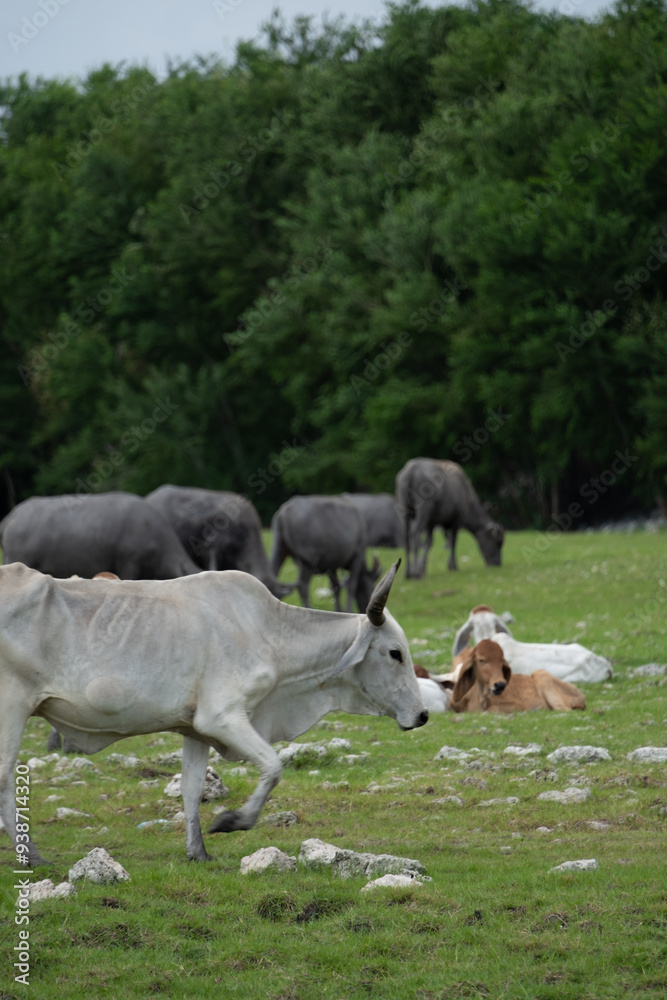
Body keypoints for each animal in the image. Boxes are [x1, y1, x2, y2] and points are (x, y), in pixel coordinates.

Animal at [0, 559, 427, 865]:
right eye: (394, 653)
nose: (422, 715)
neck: (271, 635)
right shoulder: (223, 717)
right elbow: (273, 767)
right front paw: (232, 821)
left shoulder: (195, 729)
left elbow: (191, 790)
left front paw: (198, 852)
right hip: (12, 707)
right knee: (5, 778)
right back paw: (31, 856)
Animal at [449, 639, 586, 713]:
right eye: (481, 660)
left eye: (501, 660)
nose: (500, 685)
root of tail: (580, 694)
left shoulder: (517, 705)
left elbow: (492, 709)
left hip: (542, 676)